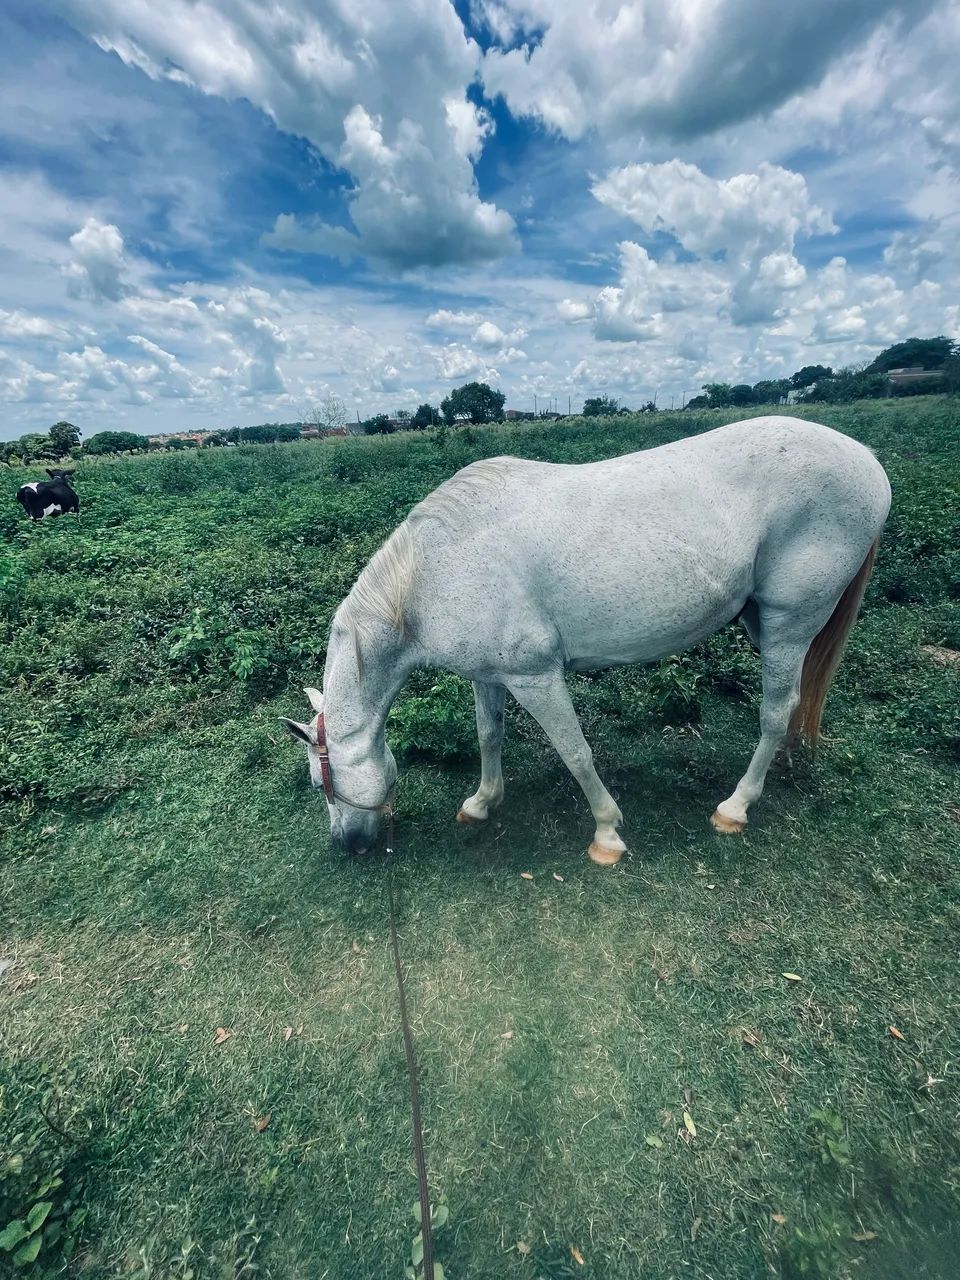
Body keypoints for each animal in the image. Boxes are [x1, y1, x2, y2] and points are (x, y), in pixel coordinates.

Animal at [281, 416, 890, 864]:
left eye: (317, 782)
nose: (347, 845)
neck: (433, 572)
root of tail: (868, 461)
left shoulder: (536, 677)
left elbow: (575, 752)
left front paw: (606, 834)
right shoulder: (489, 675)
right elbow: (488, 735)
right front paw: (482, 802)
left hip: (790, 622)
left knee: (775, 711)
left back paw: (736, 806)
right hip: (764, 622)